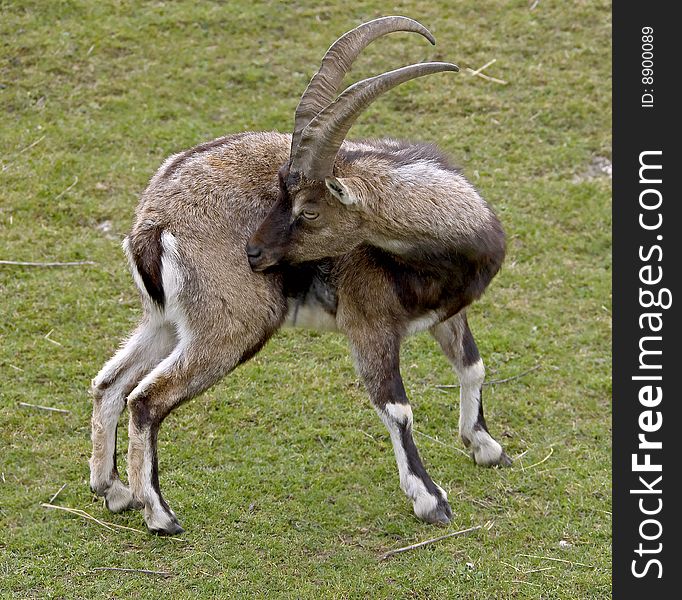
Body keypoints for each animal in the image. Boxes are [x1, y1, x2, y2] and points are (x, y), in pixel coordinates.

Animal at [89, 17, 510, 536]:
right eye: (279, 194)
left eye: (307, 208)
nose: (254, 252)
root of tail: (152, 223)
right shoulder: (368, 324)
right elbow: (397, 408)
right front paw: (430, 499)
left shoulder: (446, 313)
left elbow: (473, 366)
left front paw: (486, 446)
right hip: (232, 326)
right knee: (146, 398)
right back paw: (160, 514)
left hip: (166, 321)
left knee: (109, 384)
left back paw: (113, 491)